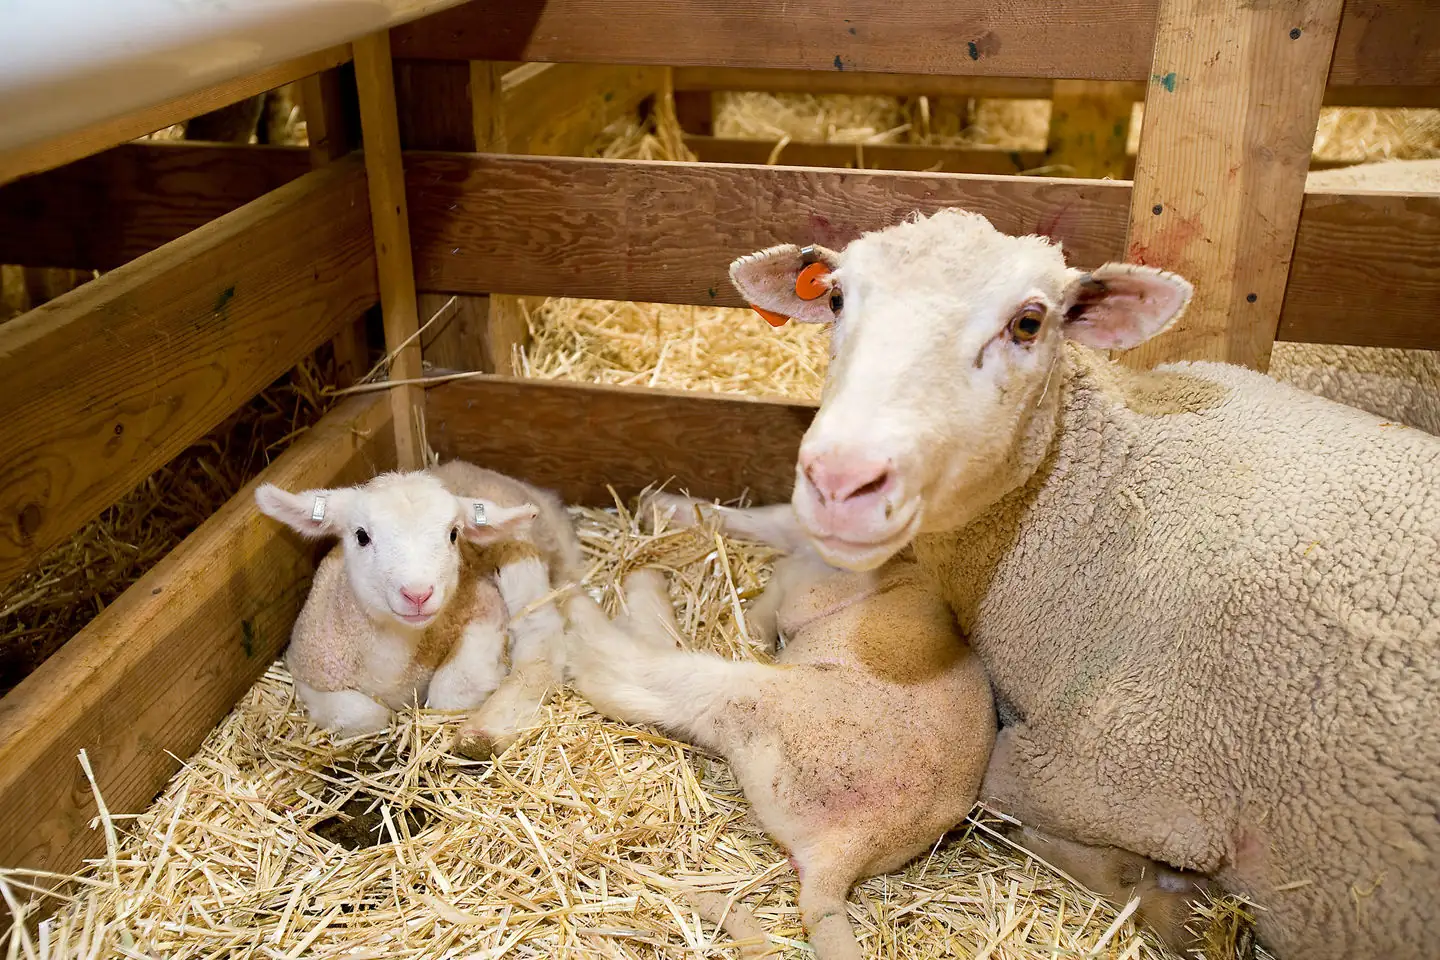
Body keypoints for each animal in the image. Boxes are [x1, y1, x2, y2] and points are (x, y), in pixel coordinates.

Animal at [256, 460, 583, 750]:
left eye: (454, 534)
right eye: (361, 536)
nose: (418, 594)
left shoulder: (485, 608)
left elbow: (448, 692)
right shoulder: (305, 669)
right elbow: (367, 714)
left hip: (520, 555)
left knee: (540, 641)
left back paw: (484, 734)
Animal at [563, 491, 994, 960]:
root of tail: (853, 848)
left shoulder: (810, 591)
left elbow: (781, 580)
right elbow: (768, 521)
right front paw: (663, 508)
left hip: (757, 700)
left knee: (631, 676)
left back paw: (594, 601)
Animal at [727, 208, 1440, 960]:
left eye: (1029, 323)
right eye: (835, 299)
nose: (841, 481)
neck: (1111, 503)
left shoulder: (1127, 779)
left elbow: (1000, 800)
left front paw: (1170, 898)